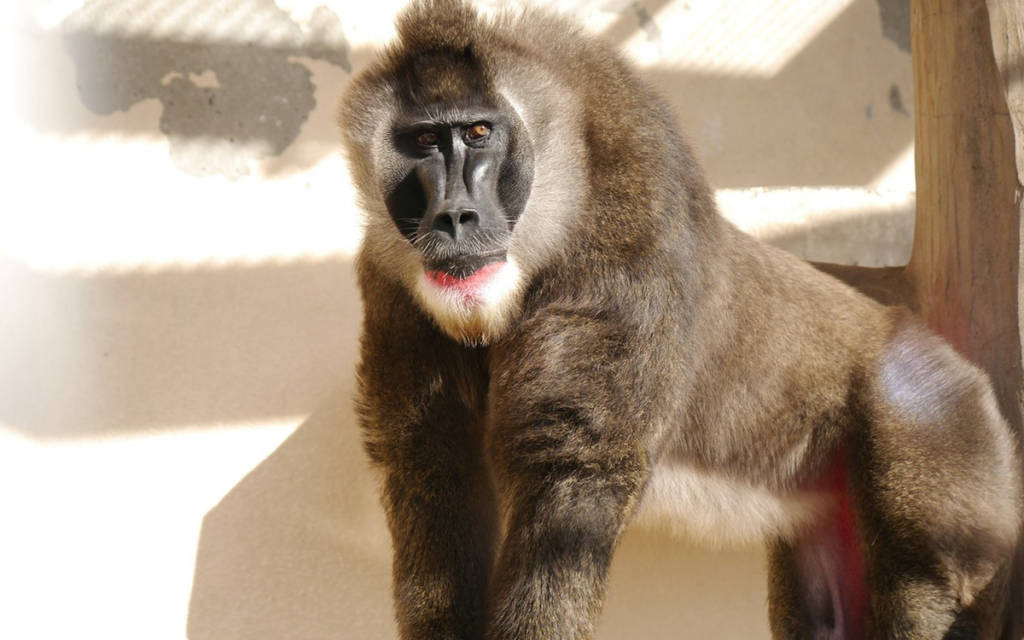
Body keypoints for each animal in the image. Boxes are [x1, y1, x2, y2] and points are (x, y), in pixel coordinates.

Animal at [337, 1, 1023, 638]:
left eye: (479, 132)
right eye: (425, 141)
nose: (454, 217)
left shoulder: (628, 225)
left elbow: (573, 476)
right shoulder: (391, 284)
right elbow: (433, 467)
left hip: (938, 453)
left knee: (926, 578)